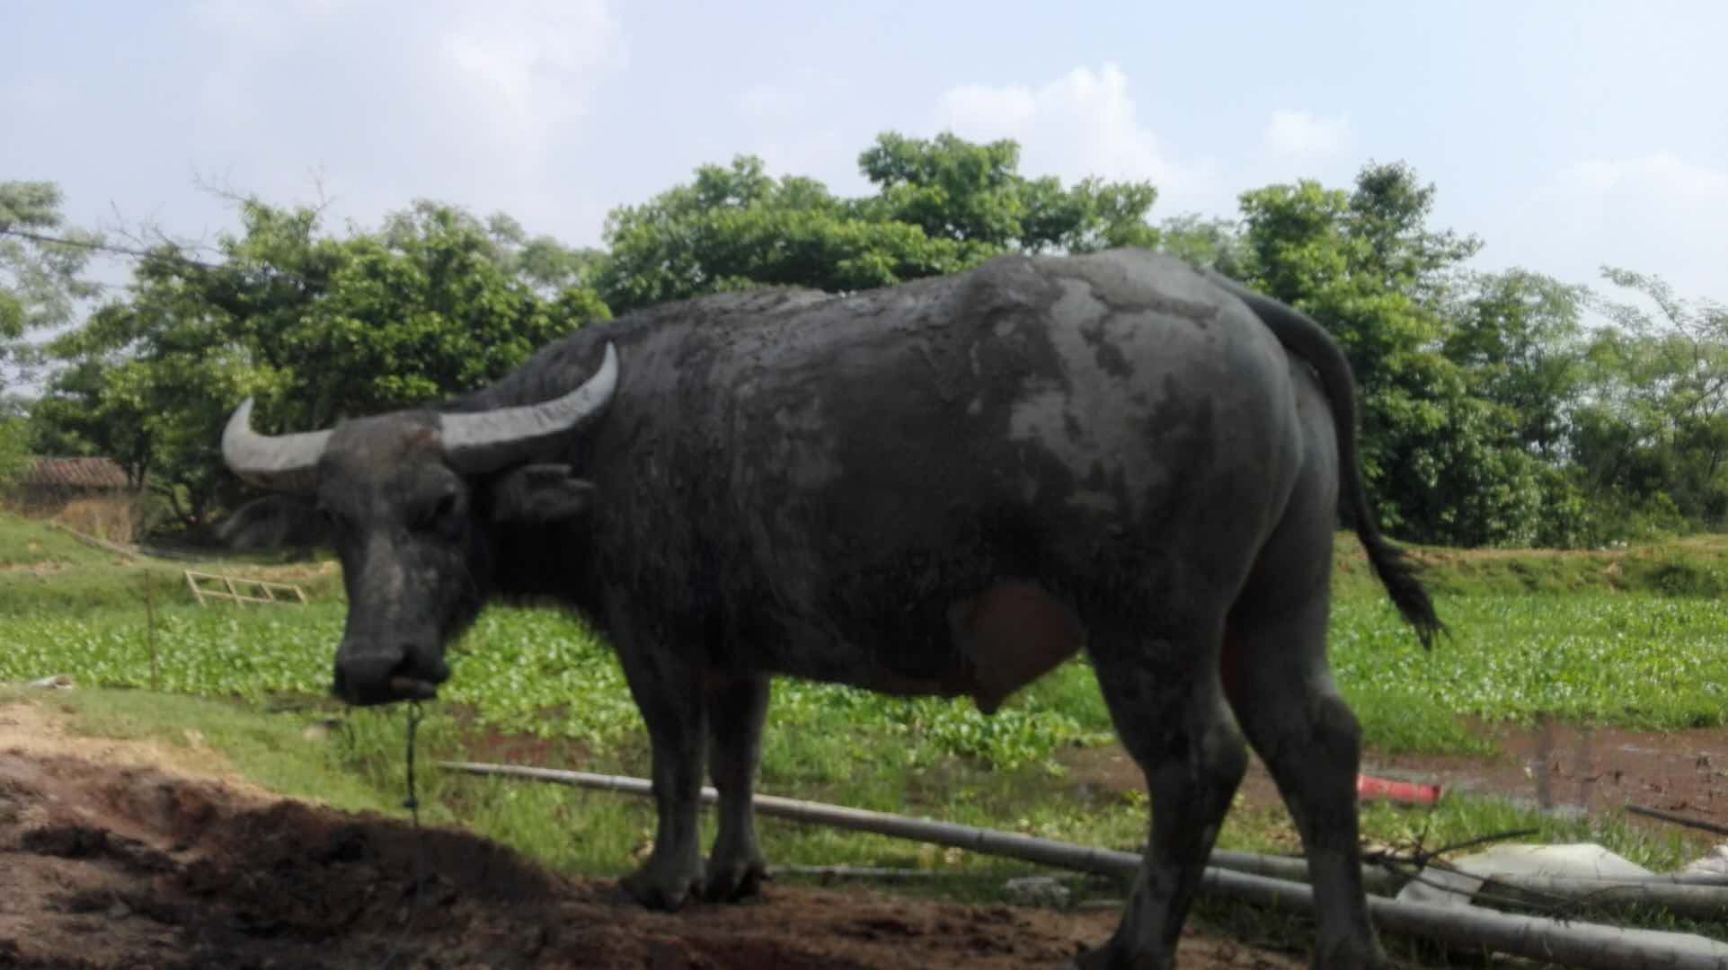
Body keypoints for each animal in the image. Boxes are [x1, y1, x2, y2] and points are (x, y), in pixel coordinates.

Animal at [219, 248, 1430, 968]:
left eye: (438, 507)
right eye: (335, 521)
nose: (375, 669)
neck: (598, 446)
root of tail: (1237, 303)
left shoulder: (655, 638)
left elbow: (673, 762)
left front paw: (661, 880)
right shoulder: (739, 649)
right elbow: (741, 756)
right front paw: (735, 873)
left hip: (1147, 624)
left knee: (1199, 761)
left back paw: (1128, 949)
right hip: (1277, 607)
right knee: (1318, 740)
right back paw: (1349, 948)